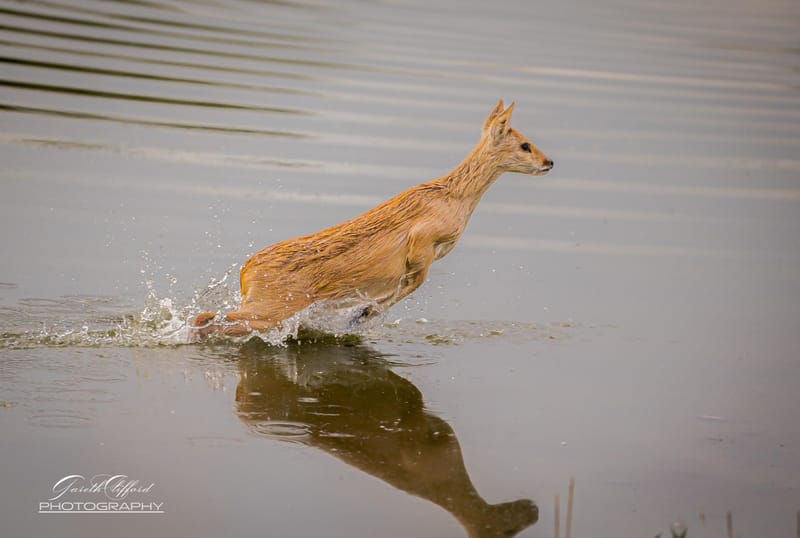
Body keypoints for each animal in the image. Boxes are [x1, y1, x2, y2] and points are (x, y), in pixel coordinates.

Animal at [192, 100, 553, 337]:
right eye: (525, 145)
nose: (549, 162)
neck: (455, 198)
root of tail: (245, 271)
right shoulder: (421, 242)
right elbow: (409, 284)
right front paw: (362, 315)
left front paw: (359, 315)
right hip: (272, 308)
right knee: (211, 319)